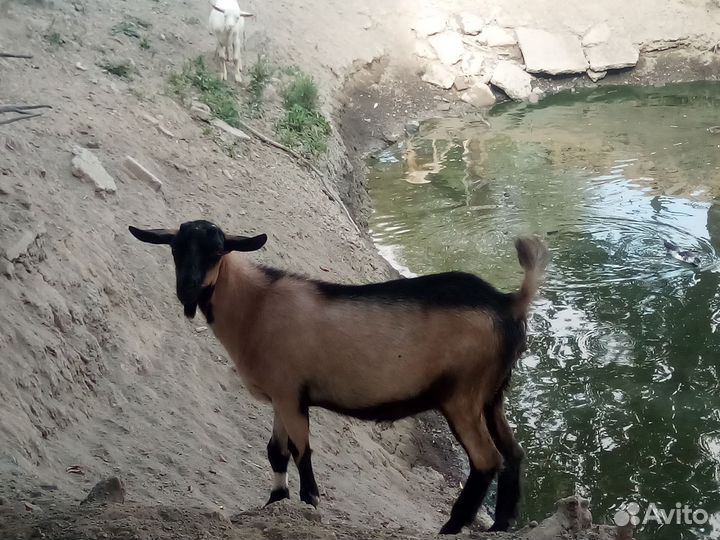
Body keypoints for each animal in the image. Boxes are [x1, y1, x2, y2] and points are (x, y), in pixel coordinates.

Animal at [128, 220, 549, 534]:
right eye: (175, 249)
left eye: (217, 251)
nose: (187, 289)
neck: (256, 307)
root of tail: (508, 303)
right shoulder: (281, 396)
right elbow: (276, 451)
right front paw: (275, 503)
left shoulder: (290, 394)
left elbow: (301, 452)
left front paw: (310, 503)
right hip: (492, 394)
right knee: (514, 452)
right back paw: (501, 523)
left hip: (462, 396)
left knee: (486, 459)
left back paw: (452, 525)